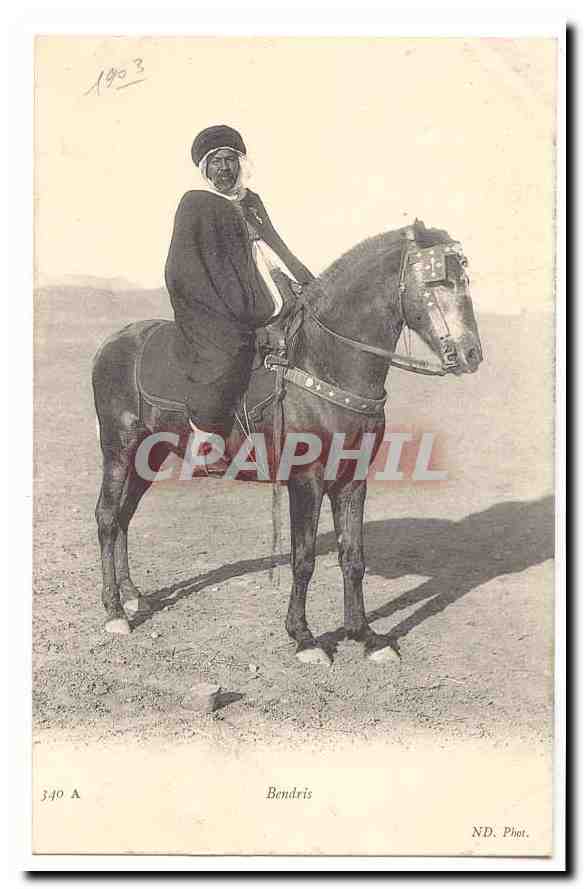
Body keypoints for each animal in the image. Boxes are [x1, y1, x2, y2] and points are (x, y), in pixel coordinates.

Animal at [92, 221, 483, 665]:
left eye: (464, 278)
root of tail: (113, 342)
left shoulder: (352, 480)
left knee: (125, 517)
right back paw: (115, 612)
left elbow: (353, 558)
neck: (323, 364)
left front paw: (364, 634)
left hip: (149, 456)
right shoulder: (305, 481)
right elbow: (304, 559)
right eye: (439, 280)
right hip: (119, 450)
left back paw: (133, 596)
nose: (472, 353)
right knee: (107, 518)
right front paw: (304, 637)